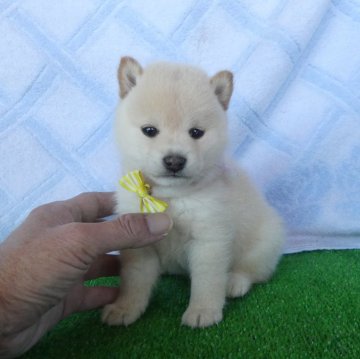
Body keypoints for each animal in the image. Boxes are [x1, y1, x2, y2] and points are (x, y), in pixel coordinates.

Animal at [102, 57, 286, 330]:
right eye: (150, 130)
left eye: (196, 132)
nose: (175, 160)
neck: (169, 197)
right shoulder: (139, 245)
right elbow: (134, 280)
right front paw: (125, 308)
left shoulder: (209, 239)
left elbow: (207, 281)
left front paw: (203, 311)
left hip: (263, 244)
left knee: (251, 270)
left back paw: (234, 282)